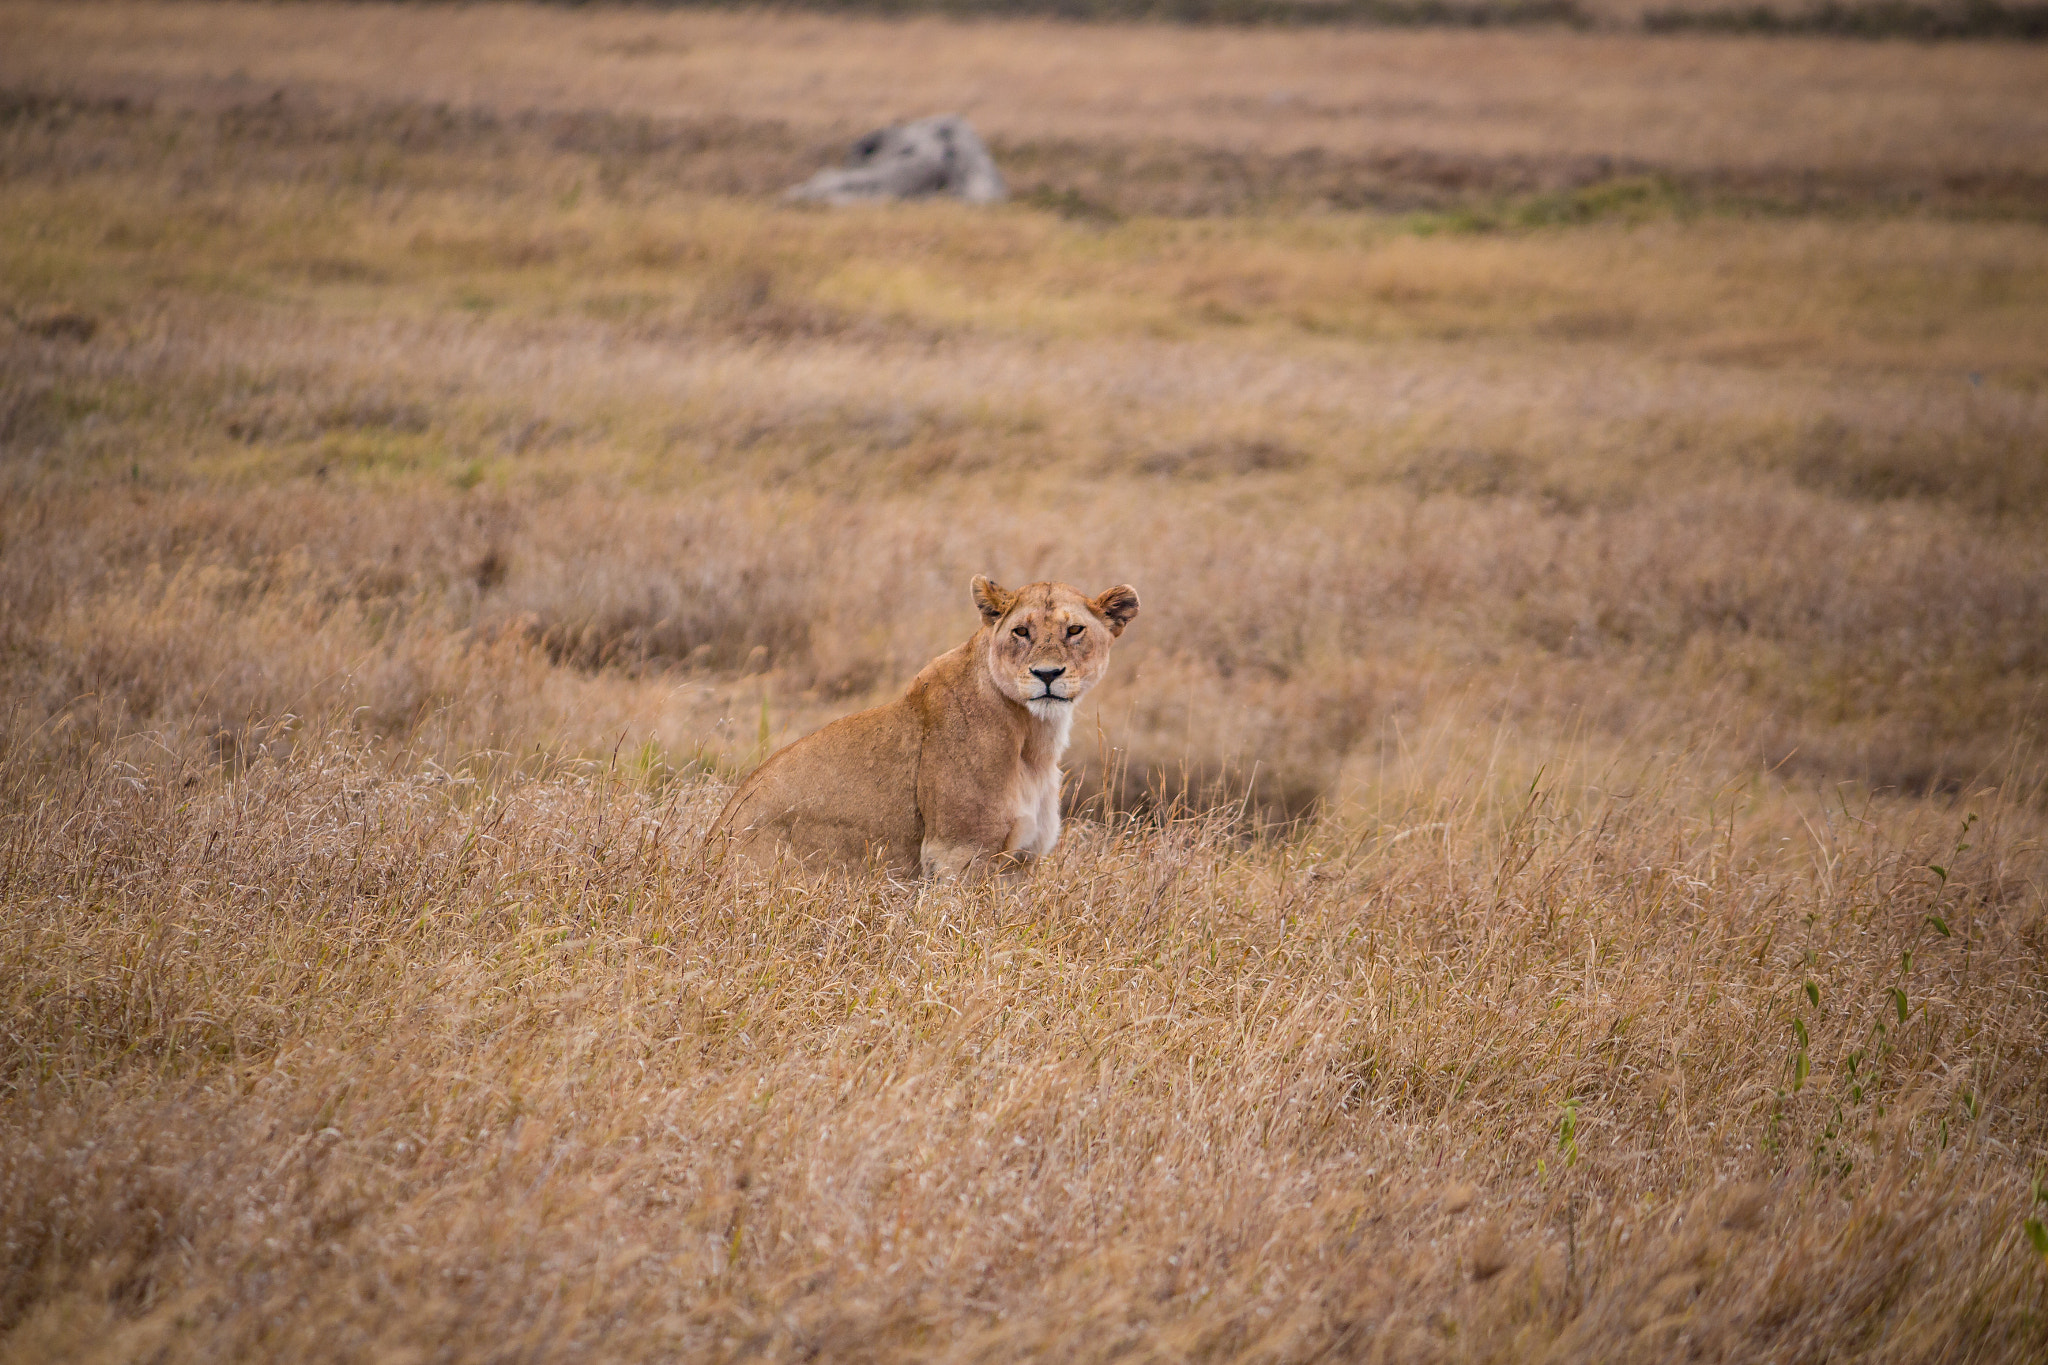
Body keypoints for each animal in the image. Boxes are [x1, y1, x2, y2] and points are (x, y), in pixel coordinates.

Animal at [710, 576, 1139, 879]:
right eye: (1021, 631)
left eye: (1075, 630)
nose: (1047, 674)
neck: (1034, 738)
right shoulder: (956, 852)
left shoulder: (1020, 861)